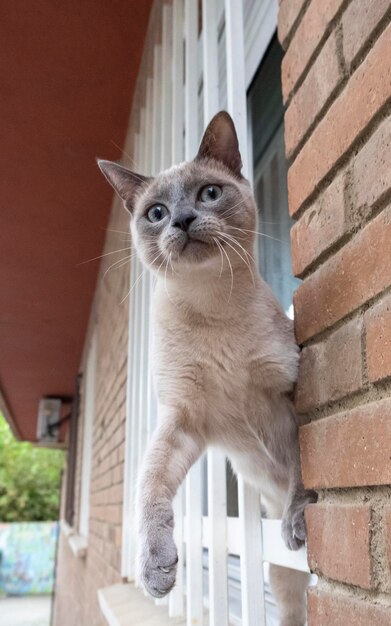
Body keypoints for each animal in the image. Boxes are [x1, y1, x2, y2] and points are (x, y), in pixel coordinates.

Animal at [99, 112, 316, 624]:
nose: (182, 219)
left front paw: (299, 515)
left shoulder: (289, 395)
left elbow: (302, 462)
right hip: (281, 580)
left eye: (209, 193)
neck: (212, 309)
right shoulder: (182, 421)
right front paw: (157, 571)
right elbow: (151, 488)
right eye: (156, 213)